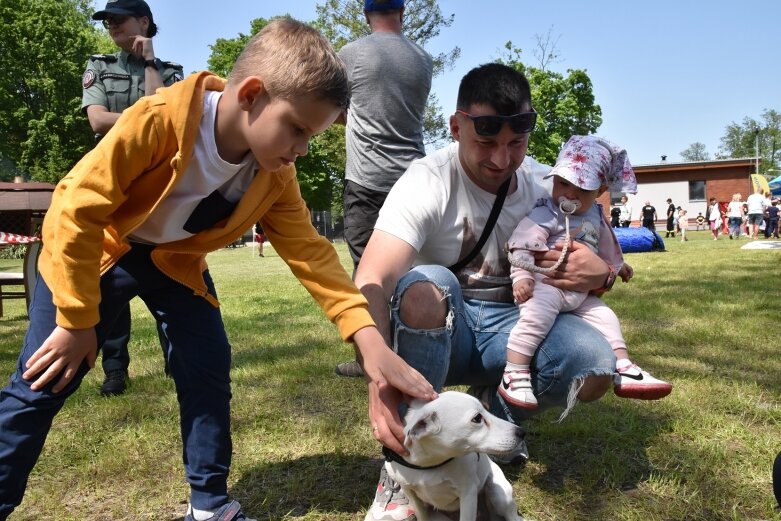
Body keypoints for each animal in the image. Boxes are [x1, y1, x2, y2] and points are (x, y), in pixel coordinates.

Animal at [382, 390, 524, 520]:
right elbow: (422, 515)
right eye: (477, 418)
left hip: (500, 496)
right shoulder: (410, 493)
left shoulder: (468, 493)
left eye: (486, 409)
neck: (430, 464)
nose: (521, 432)